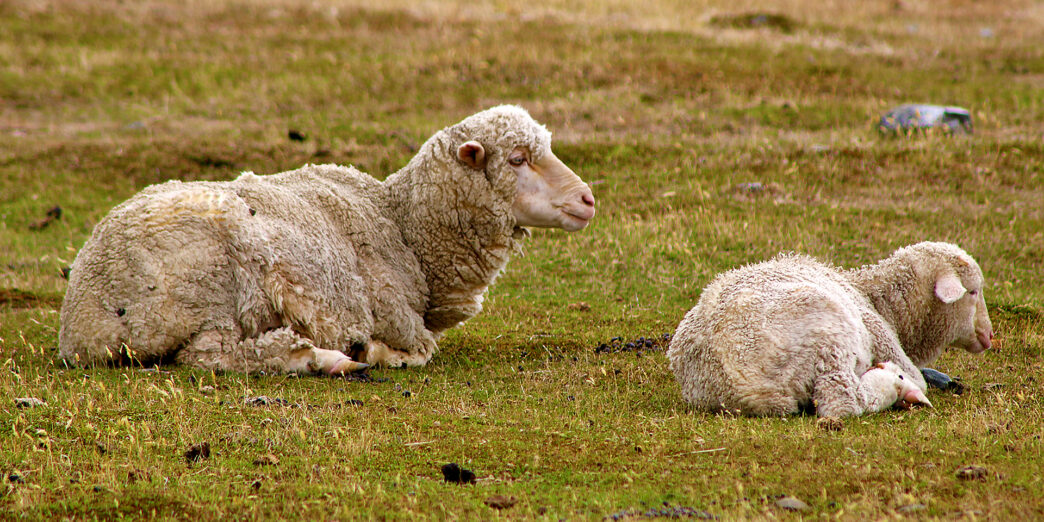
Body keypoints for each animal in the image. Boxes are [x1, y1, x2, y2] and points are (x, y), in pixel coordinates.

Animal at [59, 105, 596, 375]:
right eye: (518, 160)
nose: (587, 199)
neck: (401, 224)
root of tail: (81, 322)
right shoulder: (396, 315)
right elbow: (420, 351)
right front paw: (377, 353)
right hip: (204, 291)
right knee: (210, 356)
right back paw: (324, 358)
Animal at [667, 242, 992, 417]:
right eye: (973, 292)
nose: (989, 337)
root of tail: (747, 389)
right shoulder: (875, 328)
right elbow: (918, 379)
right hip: (828, 339)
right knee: (843, 402)